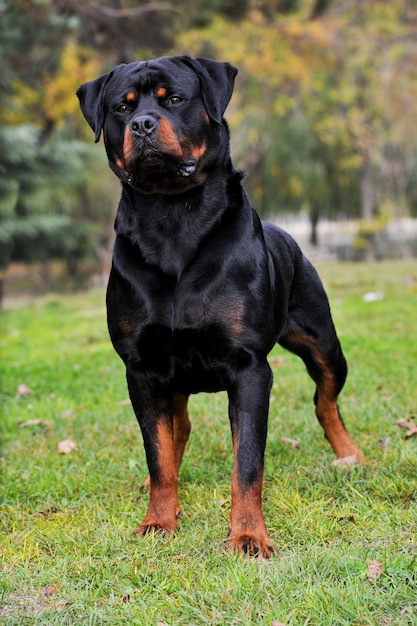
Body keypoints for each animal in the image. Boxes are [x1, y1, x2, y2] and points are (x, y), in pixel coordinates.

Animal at [76, 54, 362, 556]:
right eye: (121, 108)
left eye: (174, 98)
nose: (143, 124)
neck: (172, 217)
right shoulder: (142, 368)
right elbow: (157, 453)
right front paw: (159, 520)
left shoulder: (249, 367)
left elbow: (247, 463)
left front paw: (248, 536)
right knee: (178, 428)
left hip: (324, 342)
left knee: (325, 400)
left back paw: (349, 455)